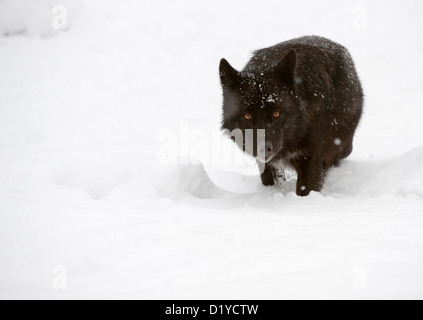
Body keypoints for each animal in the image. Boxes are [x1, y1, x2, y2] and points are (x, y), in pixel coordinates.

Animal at [220, 35, 362, 195]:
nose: (264, 147)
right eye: (247, 116)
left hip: (343, 145)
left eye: (276, 113)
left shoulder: (311, 159)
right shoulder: (264, 163)